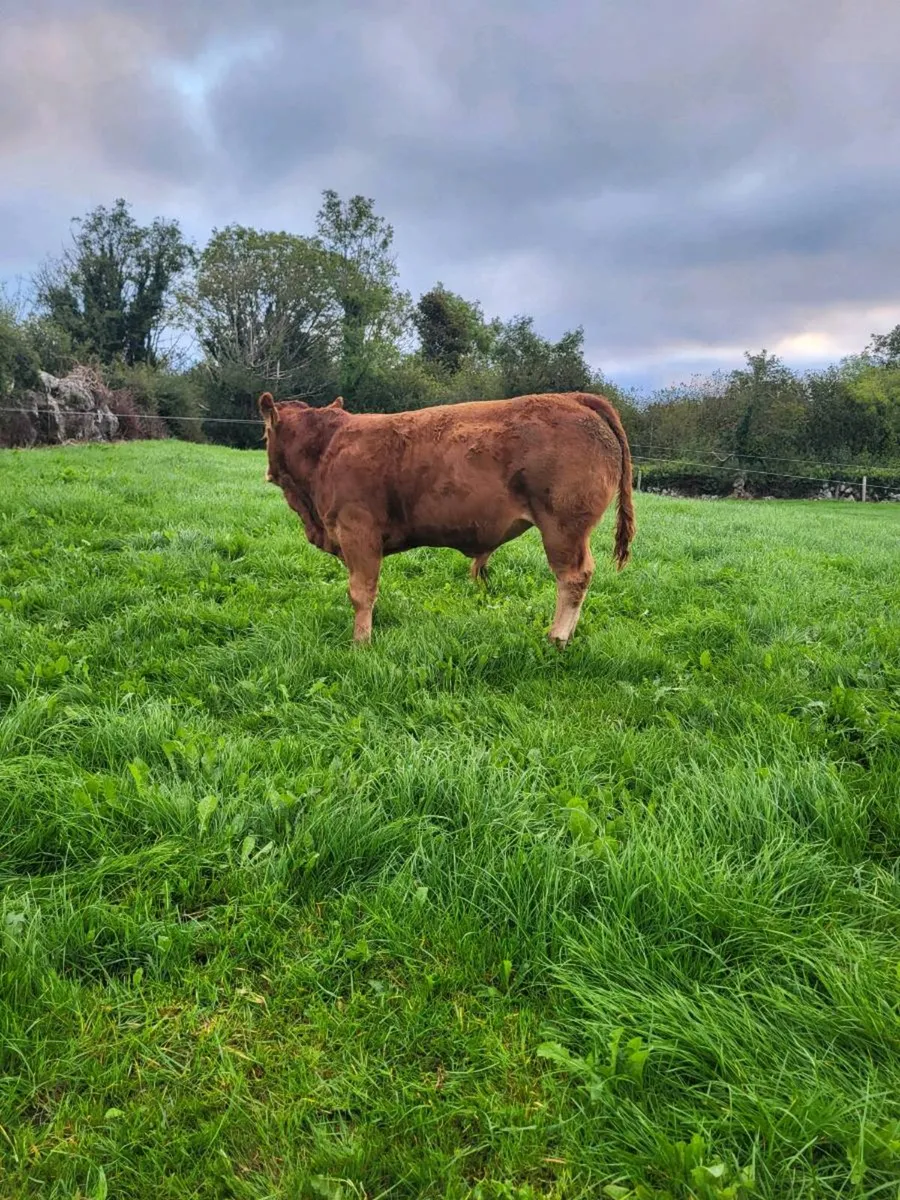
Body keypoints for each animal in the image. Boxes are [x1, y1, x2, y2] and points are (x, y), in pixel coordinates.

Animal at [258, 389, 635, 647]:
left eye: (264, 434)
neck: (326, 449)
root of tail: (573, 397)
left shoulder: (358, 532)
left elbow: (361, 592)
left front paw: (361, 642)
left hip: (563, 529)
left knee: (573, 578)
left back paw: (556, 638)